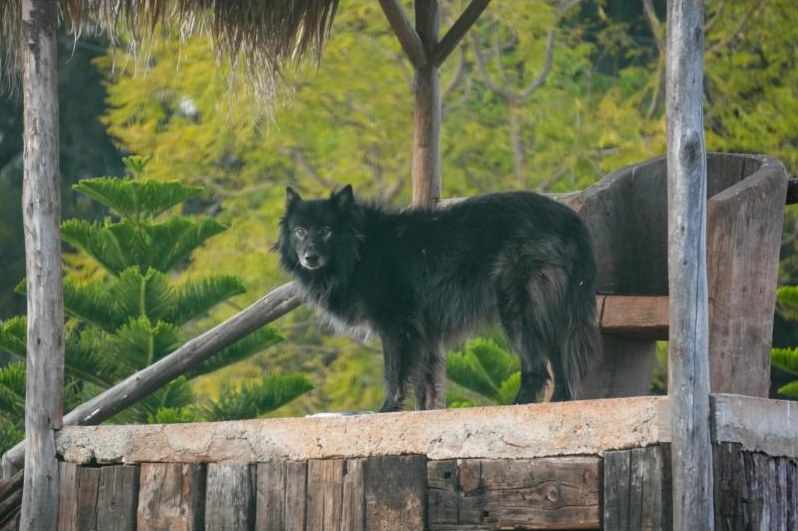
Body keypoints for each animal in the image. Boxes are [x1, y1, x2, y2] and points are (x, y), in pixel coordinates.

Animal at [278, 185, 600, 412]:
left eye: (326, 231)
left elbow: (394, 374)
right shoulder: (422, 335)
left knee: (536, 367)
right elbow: (425, 382)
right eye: (300, 231)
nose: (309, 257)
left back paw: (518, 405)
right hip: (548, 310)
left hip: (517, 310)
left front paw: (387, 410)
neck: (360, 247)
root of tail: (569, 217)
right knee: (559, 359)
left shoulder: (396, 326)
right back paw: (559, 402)